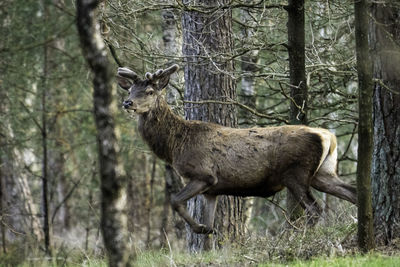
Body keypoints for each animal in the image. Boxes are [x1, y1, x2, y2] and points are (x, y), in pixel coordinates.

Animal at [116, 64, 356, 234]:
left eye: (149, 91)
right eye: (130, 90)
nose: (127, 103)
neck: (174, 147)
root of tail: (329, 136)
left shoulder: (203, 174)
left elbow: (175, 201)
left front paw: (197, 227)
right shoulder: (212, 190)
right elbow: (210, 227)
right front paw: (204, 231)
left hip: (296, 172)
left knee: (315, 209)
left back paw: (299, 237)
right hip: (323, 173)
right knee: (351, 192)